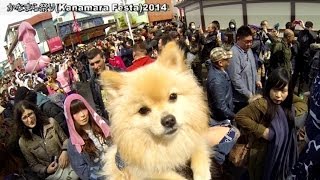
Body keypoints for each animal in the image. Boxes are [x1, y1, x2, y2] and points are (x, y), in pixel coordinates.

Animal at [100, 41, 210, 180]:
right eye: (143, 110)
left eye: (173, 96)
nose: (169, 120)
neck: (169, 143)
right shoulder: (146, 170)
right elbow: (171, 176)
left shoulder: (196, 139)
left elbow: (199, 152)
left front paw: (202, 174)